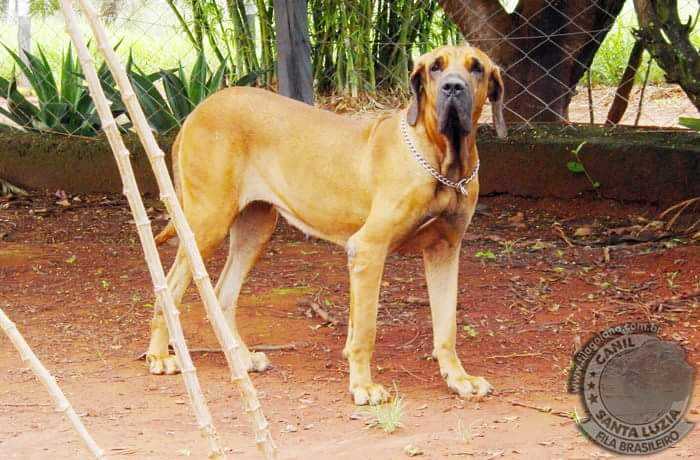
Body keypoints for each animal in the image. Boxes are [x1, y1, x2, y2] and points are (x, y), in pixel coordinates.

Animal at [150, 45, 506, 406]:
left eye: (476, 68)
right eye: (436, 67)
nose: (453, 87)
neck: (443, 161)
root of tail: (197, 111)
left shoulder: (444, 251)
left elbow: (446, 326)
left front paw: (459, 379)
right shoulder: (368, 249)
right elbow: (366, 329)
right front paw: (363, 385)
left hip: (256, 228)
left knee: (224, 292)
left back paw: (241, 357)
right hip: (207, 222)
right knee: (170, 287)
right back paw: (160, 356)